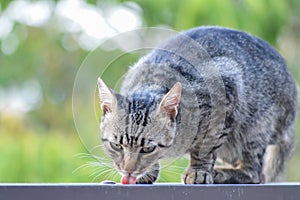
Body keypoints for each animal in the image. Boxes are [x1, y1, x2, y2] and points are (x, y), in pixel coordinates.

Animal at [97, 26, 296, 184]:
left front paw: (199, 171)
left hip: (255, 128)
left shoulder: (227, 93)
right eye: (116, 146)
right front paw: (148, 173)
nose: (128, 170)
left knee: (256, 174)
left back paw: (222, 174)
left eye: (148, 148)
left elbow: (205, 149)